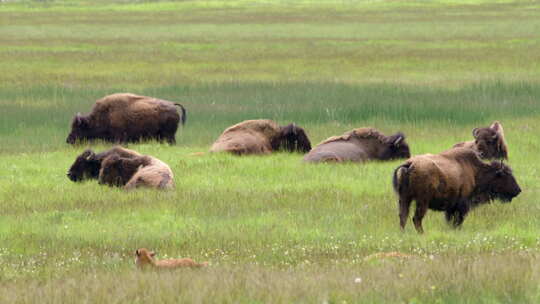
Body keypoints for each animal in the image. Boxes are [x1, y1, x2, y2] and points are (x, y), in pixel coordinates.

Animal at [392, 147, 524, 233]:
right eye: (506, 175)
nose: (518, 190)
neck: (475, 171)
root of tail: (410, 164)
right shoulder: (462, 205)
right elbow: (458, 220)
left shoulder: (450, 207)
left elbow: (450, 220)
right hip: (422, 201)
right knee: (416, 219)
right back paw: (422, 234)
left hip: (404, 198)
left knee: (403, 216)